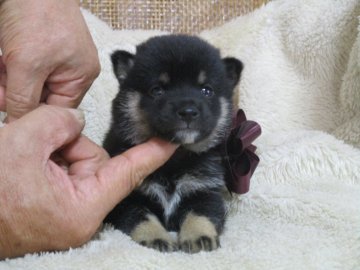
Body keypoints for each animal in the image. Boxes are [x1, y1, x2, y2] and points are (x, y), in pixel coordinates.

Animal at [103, 34, 242, 253]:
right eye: (157, 90)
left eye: (207, 90)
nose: (188, 112)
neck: (174, 160)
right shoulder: (127, 199)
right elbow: (141, 217)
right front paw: (155, 238)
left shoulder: (204, 190)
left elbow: (200, 215)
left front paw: (199, 236)